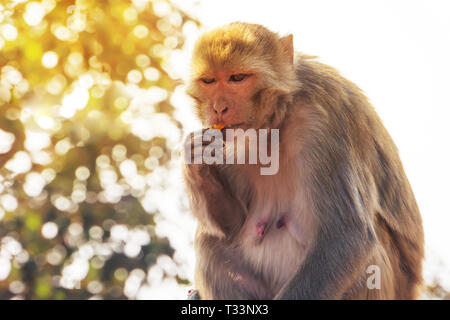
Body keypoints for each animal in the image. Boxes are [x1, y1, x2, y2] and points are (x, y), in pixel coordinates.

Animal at [181, 22, 424, 300]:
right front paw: (195, 158)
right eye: (209, 81)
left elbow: (346, 236)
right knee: (211, 241)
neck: (277, 120)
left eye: (237, 78)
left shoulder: (324, 121)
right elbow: (233, 224)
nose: (218, 108)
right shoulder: (230, 141)